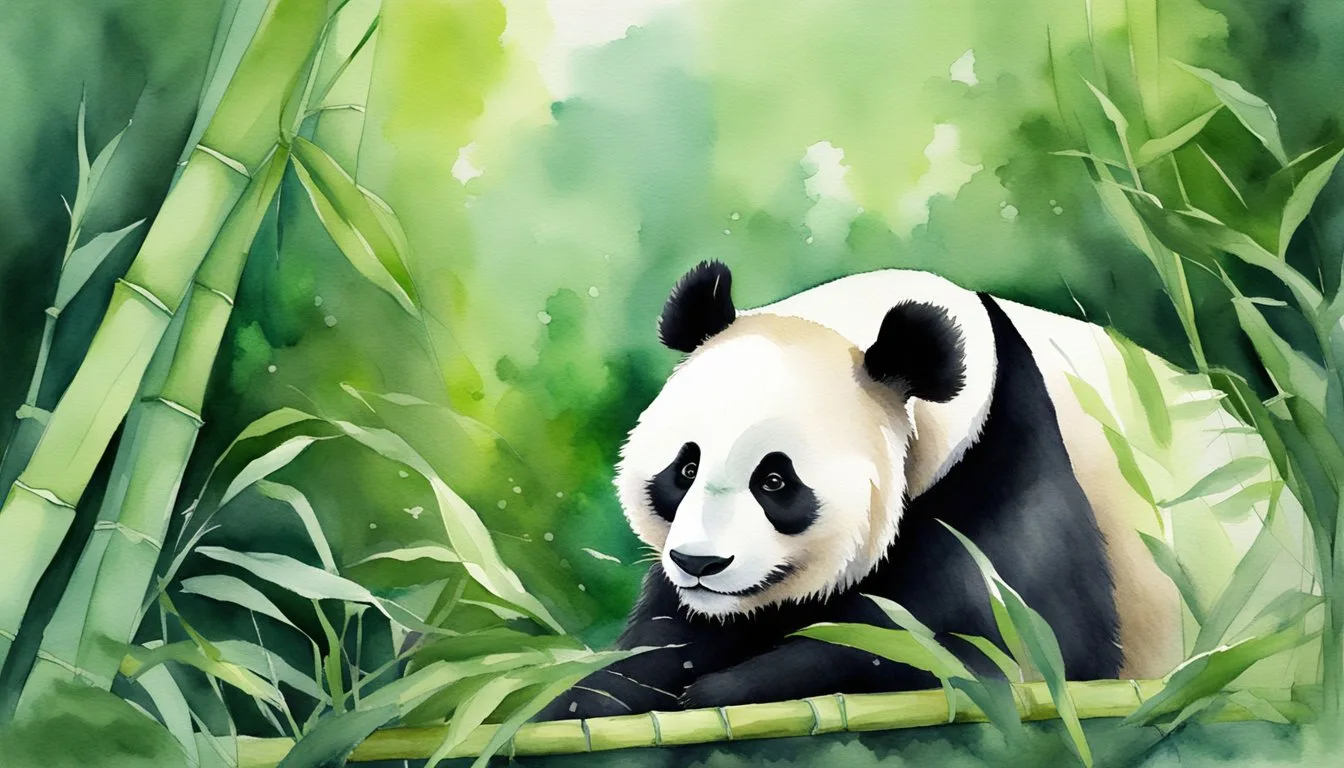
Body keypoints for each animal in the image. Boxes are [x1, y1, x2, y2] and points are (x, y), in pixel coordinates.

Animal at [535, 261, 1181, 720]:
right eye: (685, 469)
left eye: (775, 480)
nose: (700, 563)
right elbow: (665, 638)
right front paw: (586, 696)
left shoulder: (1002, 466)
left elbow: (994, 646)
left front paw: (725, 689)